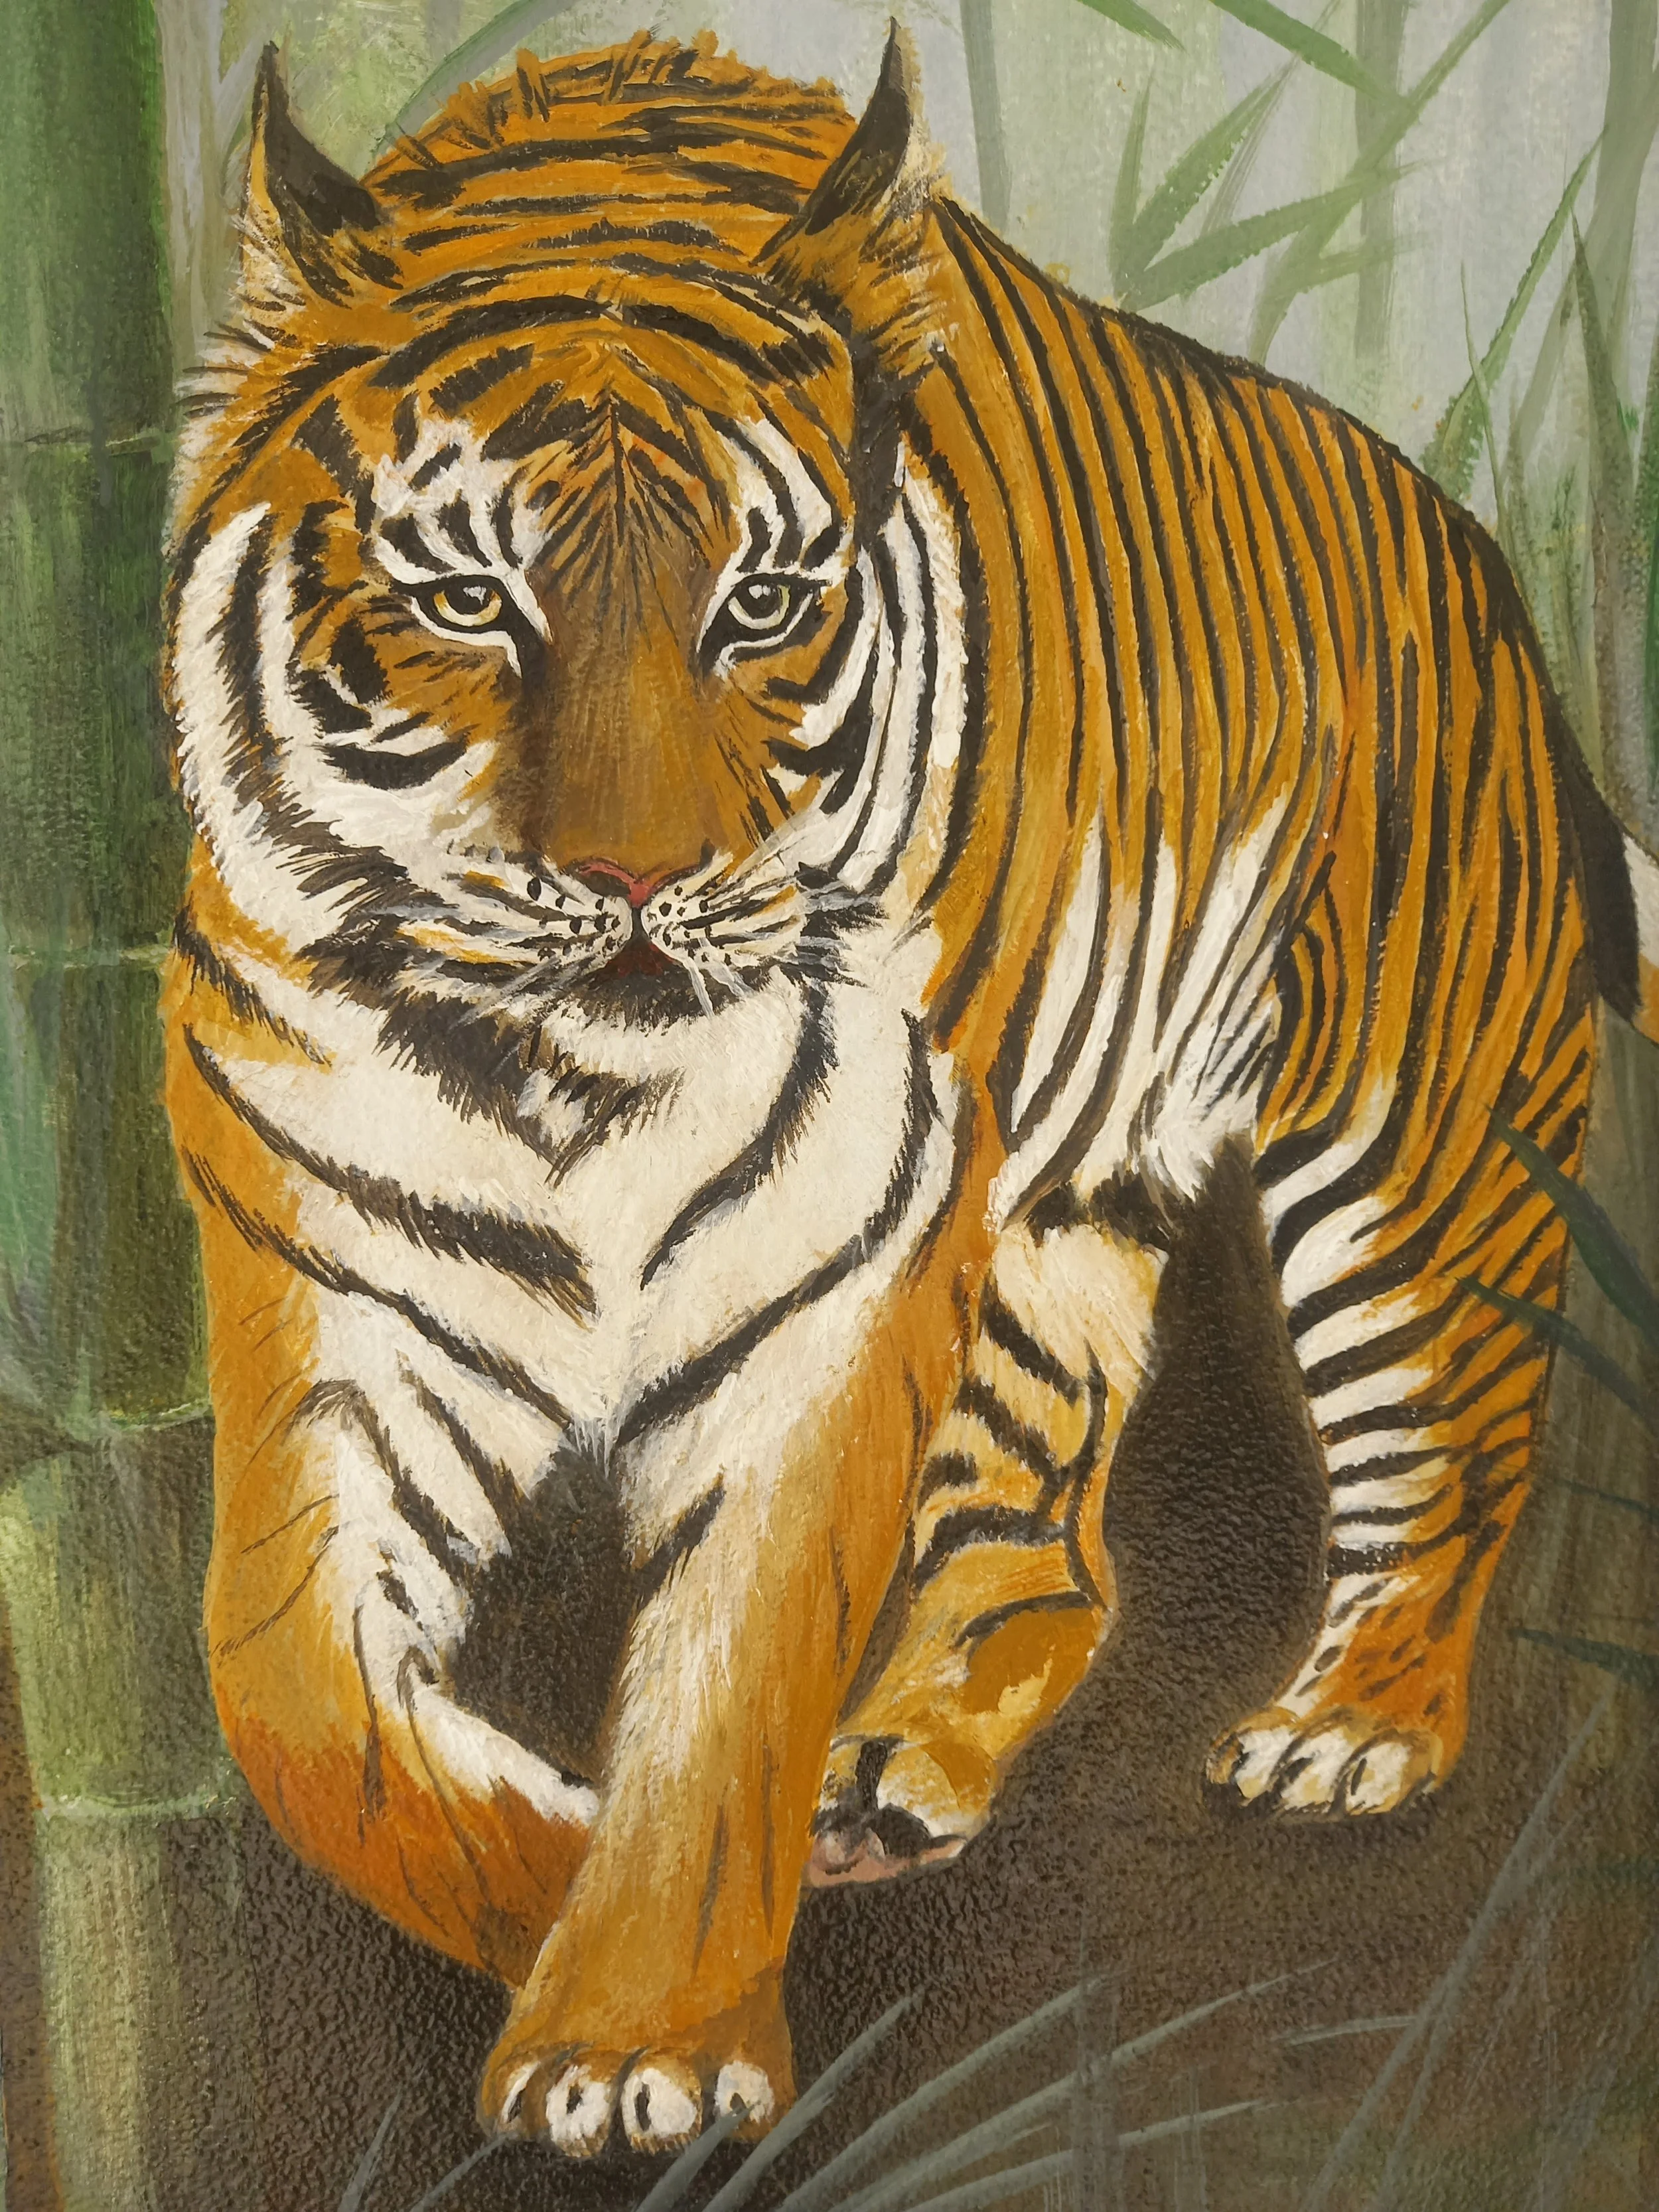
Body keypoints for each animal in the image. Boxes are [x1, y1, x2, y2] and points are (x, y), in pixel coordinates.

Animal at [159, 24, 1659, 2158]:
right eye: (467, 606)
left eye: (763, 607)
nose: (634, 882)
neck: (564, 1071)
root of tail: (1476, 565)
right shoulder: (345, 1281)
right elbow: (292, 1690)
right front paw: (564, 1884)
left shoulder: (829, 1296)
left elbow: (727, 1680)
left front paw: (634, 2028)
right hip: (1049, 1225)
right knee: (1047, 1545)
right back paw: (894, 1769)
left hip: (1407, 1154)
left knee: (1444, 1439)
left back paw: (1349, 1726)